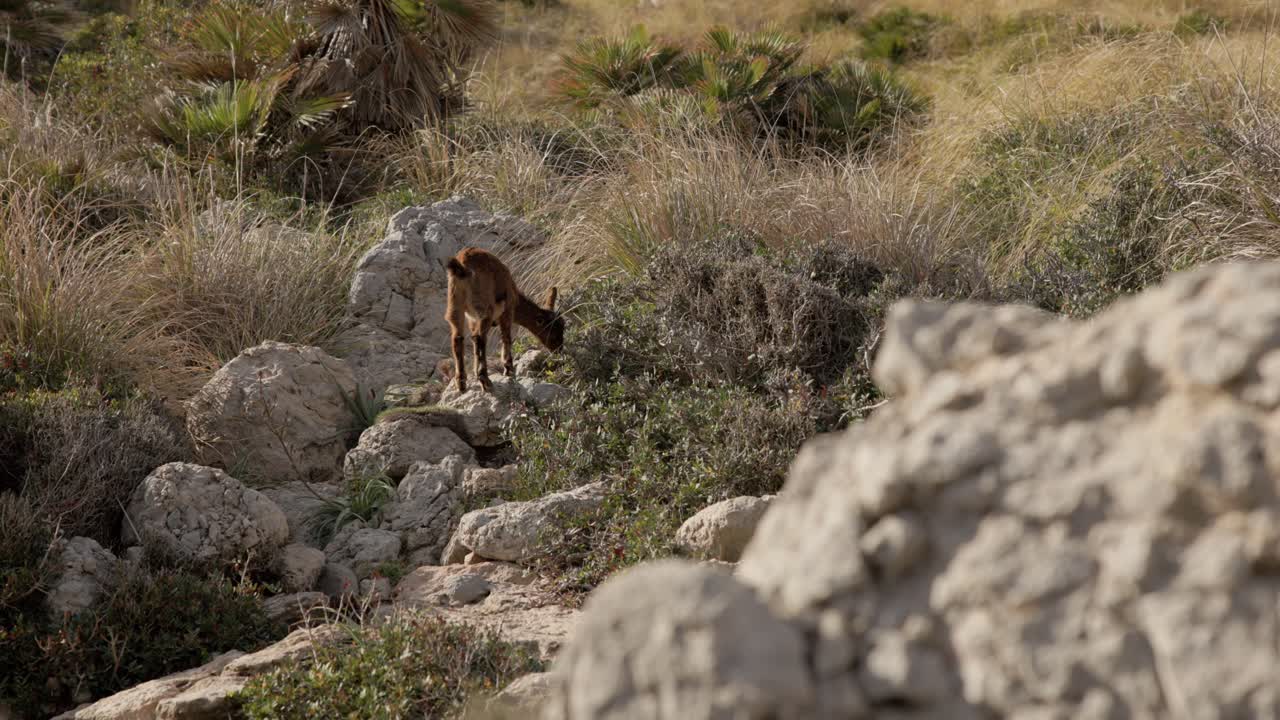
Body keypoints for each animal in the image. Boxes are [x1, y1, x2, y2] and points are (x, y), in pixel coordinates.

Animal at [443, 247, 564, 393]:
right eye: (553, 330)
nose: (559, 349)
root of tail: (462, 266)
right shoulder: (507, 310)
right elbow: (506, 337)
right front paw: (509, 369)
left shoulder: (472, 318)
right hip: (484, 307)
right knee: (479, 337)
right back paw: (485, 380)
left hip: (455, 305)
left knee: (458, 338)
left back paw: (461, 383)